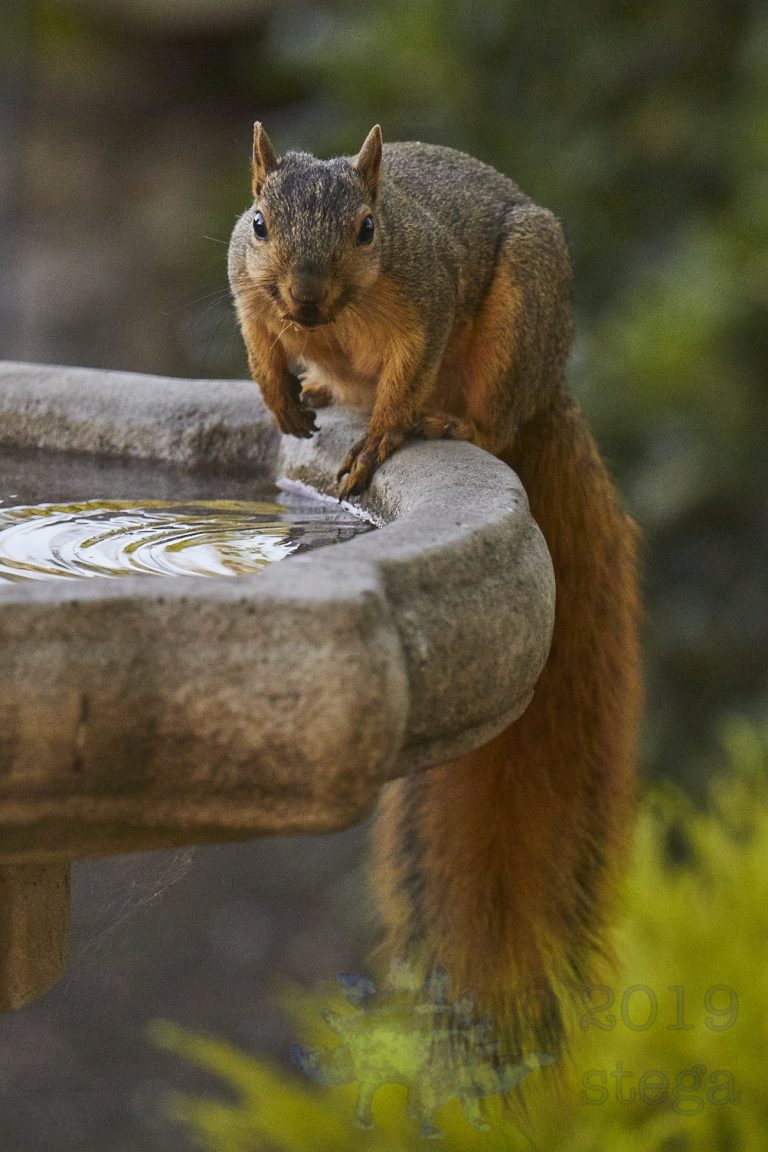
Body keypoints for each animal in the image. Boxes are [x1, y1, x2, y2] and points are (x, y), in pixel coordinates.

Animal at [228, 123, 642, 1060]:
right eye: (262, 223)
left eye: (369, 230)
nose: (306, 300)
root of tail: (551, 389)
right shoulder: (246, 282)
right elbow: (257, 337)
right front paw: (279, 389)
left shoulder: (426, 299)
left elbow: (404, 373)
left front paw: (378, 438)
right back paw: (317, 387)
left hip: (522, 313)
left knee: (484, 415)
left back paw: (444, 423)